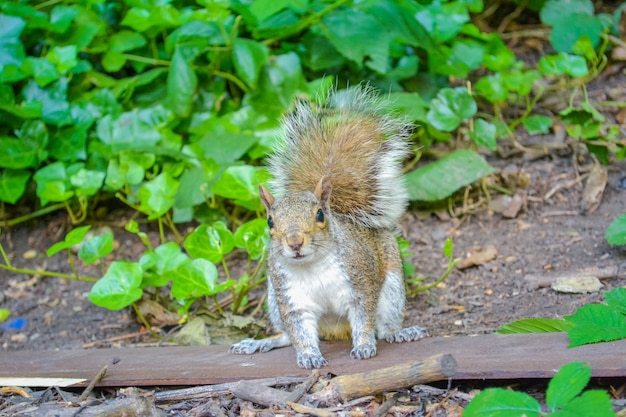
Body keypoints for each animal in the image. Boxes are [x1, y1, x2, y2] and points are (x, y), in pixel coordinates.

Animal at [229, 84, 424, 368]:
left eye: (320, 215)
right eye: (270, 221)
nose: (295, 242)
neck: (311, 266)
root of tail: (335, 333)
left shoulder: (360, 282)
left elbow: (364, 320)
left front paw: (364, 346)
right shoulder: (291, 299)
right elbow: (299, 332)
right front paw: (309, 355)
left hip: (392, 289)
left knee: (384, 326)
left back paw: (400, 332)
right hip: (274, 300)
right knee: (286, 335)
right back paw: (258, 342)